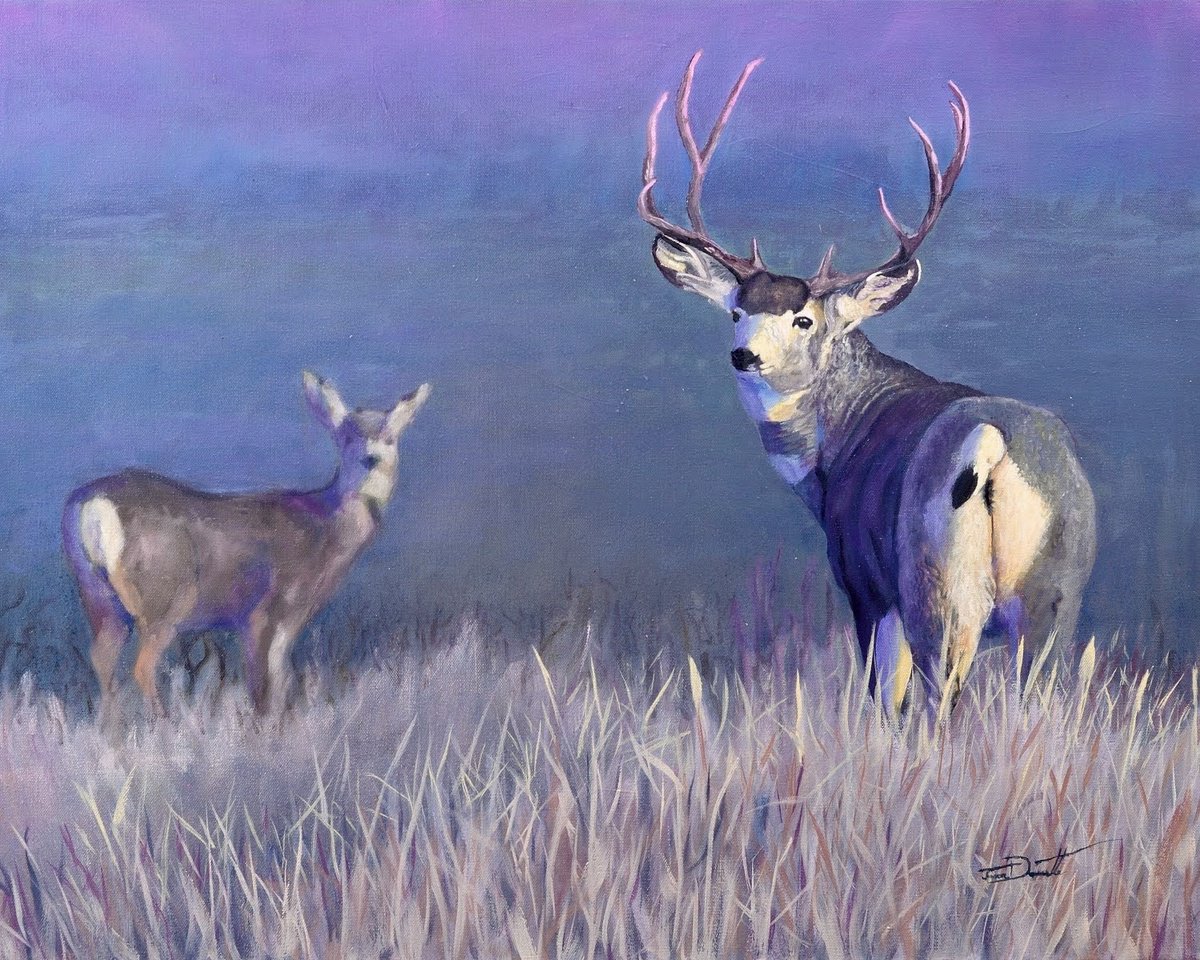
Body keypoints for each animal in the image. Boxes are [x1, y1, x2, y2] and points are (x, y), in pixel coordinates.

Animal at [62, 372, 431, 716]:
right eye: (346, 436)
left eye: (390, 437)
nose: (371, 459)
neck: (322, 531)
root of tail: (92, 506)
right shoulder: (260, 611)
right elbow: (260, 687)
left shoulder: (289, 620)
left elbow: (280, 681)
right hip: (164, 598)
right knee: (142, 667)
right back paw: (163, 726)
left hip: (98, 598)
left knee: (102, 663)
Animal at [638, 52, 1095, 717]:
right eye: (735, 311)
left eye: (803, 319)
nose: (744, 355)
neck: (838, 447)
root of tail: (992, 445)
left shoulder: (864, 583)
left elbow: (882, 700)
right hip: (1056, 596)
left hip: (934, 585)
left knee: (937, 701)